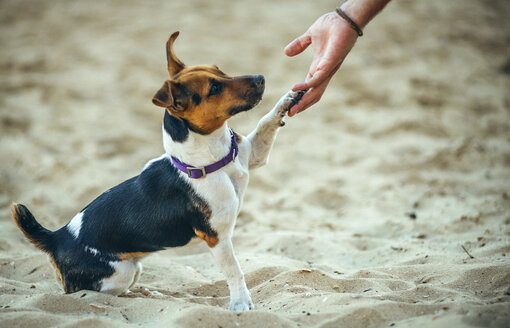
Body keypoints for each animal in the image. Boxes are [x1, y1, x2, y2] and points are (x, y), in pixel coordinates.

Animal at [10, 30, 302, 310]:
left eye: (220, 70)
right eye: (215, 87)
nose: (260, 78)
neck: (211, 160)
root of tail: (57, 237)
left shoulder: (252, 156)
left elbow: (266, 122)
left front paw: (287, 99)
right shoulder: (217, 238)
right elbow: (234, 271)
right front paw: (241, 303)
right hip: (121, 272)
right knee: (96, 293)